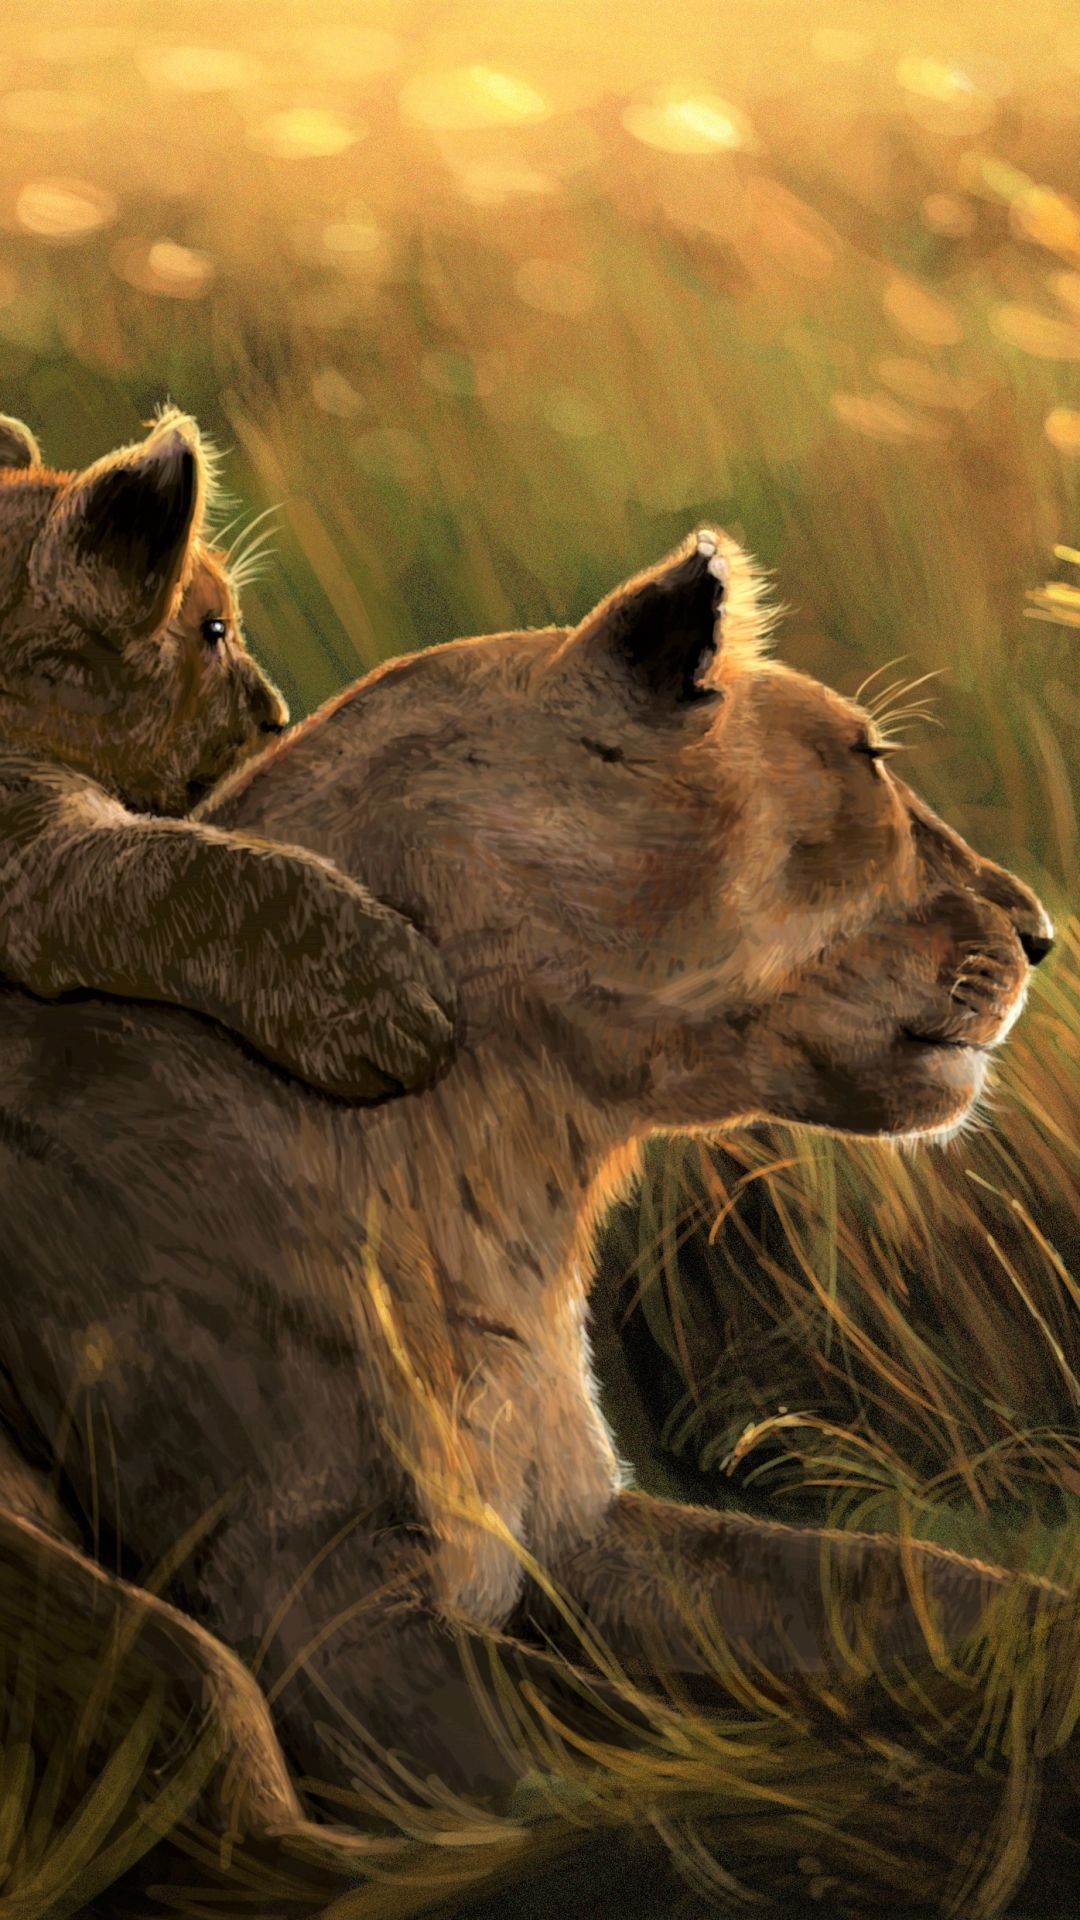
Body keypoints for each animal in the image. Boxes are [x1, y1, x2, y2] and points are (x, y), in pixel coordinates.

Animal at [0, 529, 1059, 1846]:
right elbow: (593, 1772)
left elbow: (900, 1585)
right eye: (867, 762)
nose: (1042, 932)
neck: (503, 1165)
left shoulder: (576, 1532)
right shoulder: (314, 1593)